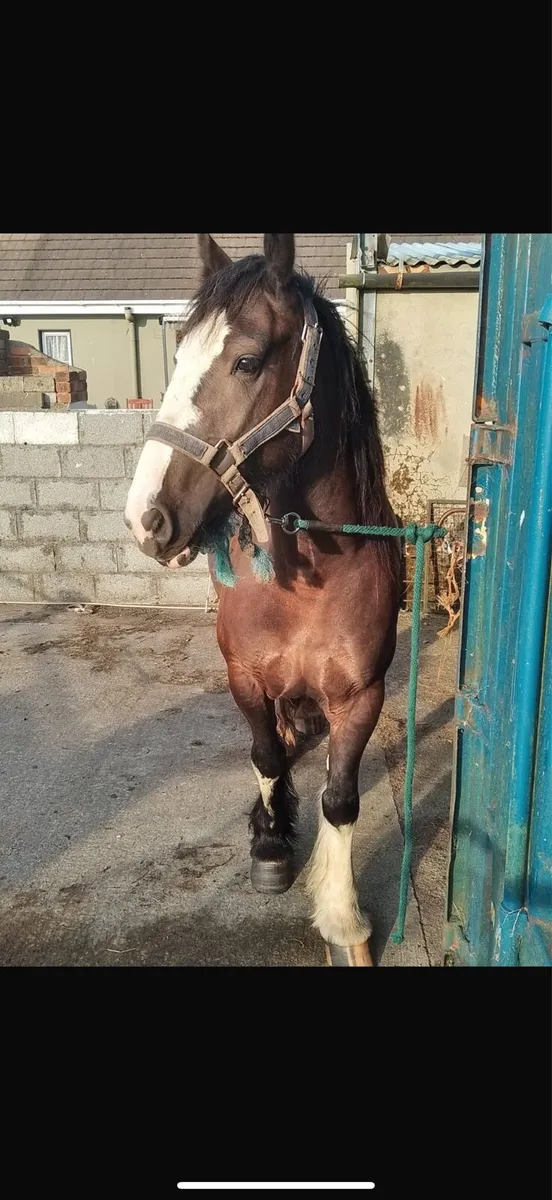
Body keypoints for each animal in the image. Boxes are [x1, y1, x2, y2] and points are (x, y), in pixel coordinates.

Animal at [125, 233, 401, 966]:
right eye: (178, 354)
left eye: (246, 360)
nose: (145, 518)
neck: (306, 581)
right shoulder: (245, 678)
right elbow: (268, 758)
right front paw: (273, 843)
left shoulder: (361, 696)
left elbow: (341, 797)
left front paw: (343, 918)